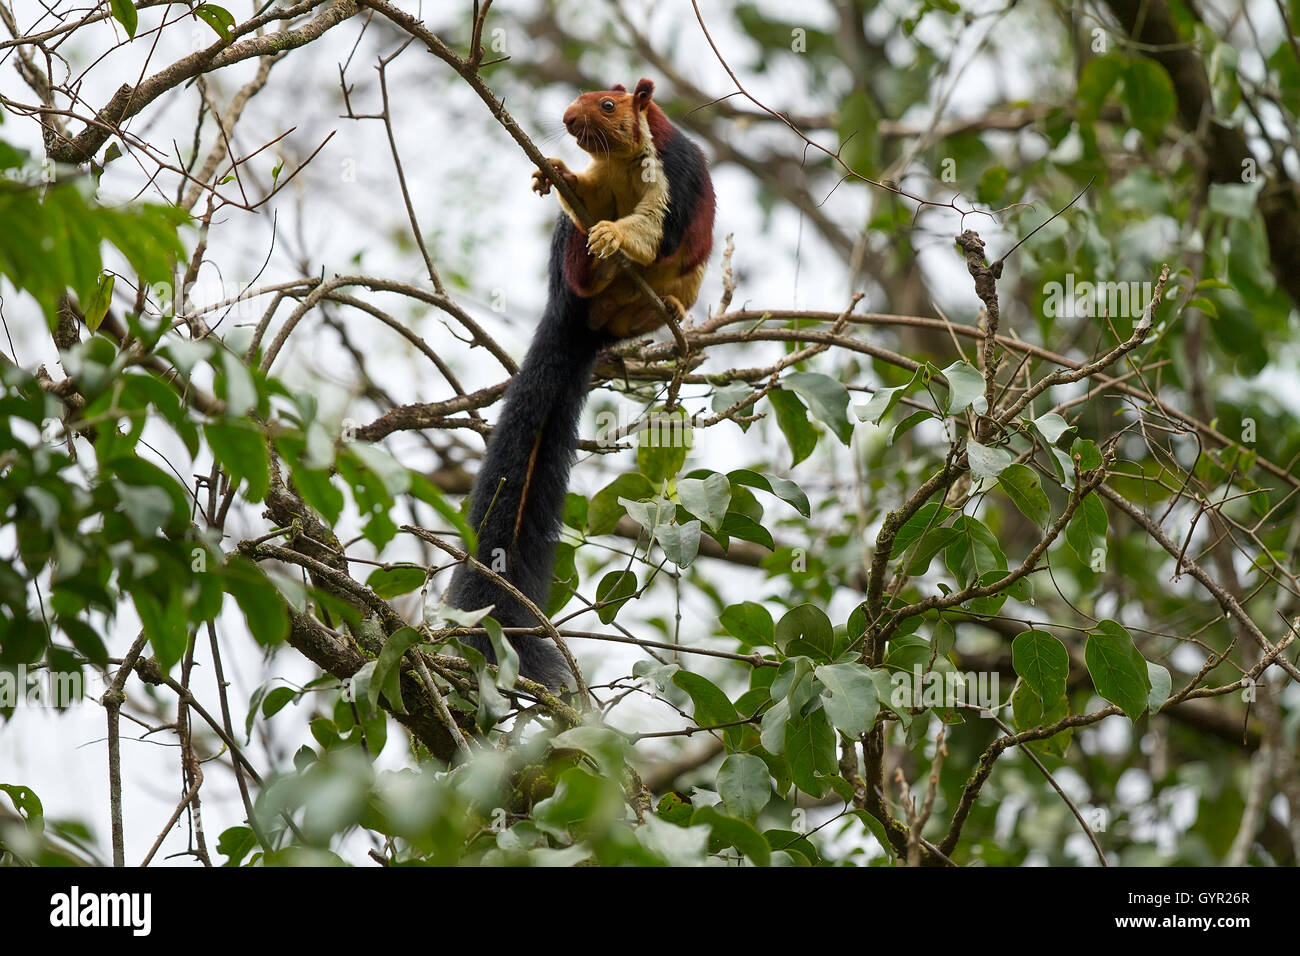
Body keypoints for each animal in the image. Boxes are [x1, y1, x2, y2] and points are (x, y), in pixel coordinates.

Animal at [447, 78, 715, 690]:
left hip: (684, 281)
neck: (618, 160)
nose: (568, 118)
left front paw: (617, 232)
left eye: (609, 105)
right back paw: (592, 268)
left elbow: (651, 230)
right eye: (581, 96)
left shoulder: (674, 178)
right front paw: (554, 171)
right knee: (577, 248)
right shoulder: (596, 186)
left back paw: (661, 304)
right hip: (569, 261)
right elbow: (584, 199)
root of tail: (577, 322)